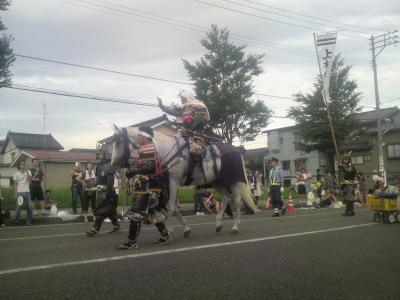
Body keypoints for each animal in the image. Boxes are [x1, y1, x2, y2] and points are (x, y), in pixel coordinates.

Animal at [111, 125, 258, 233]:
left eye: (118, 142)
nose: (113, 164)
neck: (166, 151)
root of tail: (236, 150)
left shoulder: (173, 182)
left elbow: (170, 207)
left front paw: (169, 229)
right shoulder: (167, 184)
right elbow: (174, 208)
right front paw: (186, 228)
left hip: (234, 181)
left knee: (237, 201)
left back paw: (235, 226)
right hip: (217, 182)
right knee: (226, 198)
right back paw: (218, 224)